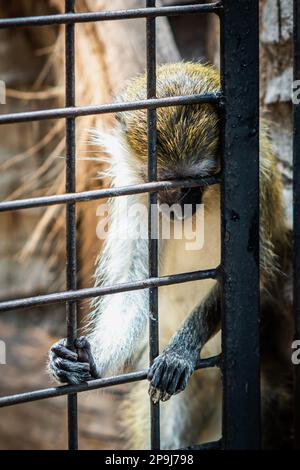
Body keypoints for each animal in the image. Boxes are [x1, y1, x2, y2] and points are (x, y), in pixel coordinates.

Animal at [47, 62, 292, 448]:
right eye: (166, 184)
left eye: (194, 183)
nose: (181, 207)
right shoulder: (136, 194)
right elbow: (134, 287)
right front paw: (86, 358)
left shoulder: (258, 179)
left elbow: (249, 278)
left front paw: (180, 352)